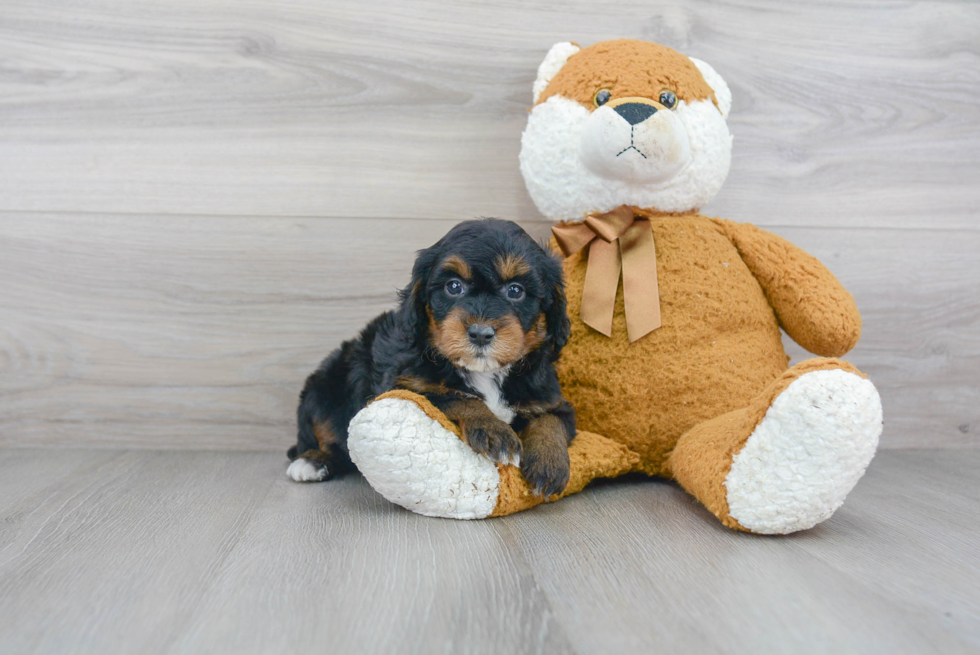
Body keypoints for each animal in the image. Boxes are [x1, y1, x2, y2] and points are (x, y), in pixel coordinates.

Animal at [284, 219, 576, 498]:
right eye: (453, 287)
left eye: (515, 291)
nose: (481, 334)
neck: (485, 373)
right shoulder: (404, 387)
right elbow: (457, 398)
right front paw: (495, 432)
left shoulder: (551, 398)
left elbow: (551, 420)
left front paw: (549, 464)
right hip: (324, 387)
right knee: (326, 436)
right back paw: (311, 462)